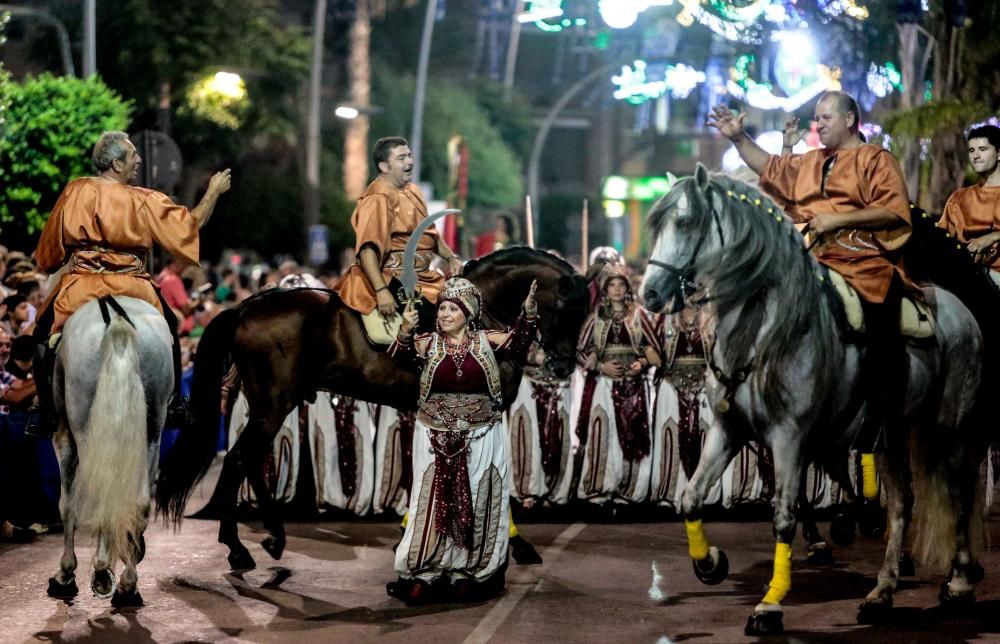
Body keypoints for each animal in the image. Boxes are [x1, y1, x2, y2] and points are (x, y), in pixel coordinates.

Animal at [45, 294, 172, 608]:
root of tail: (115, 316)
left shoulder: (63, 436)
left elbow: (67, 504)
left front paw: (65, 576)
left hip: (83, 425)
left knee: (96, 492)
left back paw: (102, 572)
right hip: (152, 430)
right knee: (140, 502)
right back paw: (127, 585)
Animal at [156, 247, 600, 568]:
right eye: (567, 309)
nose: (563, 367)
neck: (483, 309)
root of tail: (247, 307)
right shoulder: (488, 413)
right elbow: (494, 476)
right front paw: (515, 545)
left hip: (271, 407)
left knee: (248, 461)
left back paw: (268, 538)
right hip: (271, 406)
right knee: (237, 461)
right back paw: (240, 547)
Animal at [640, 164, 984, 636]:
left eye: (687, 223)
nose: (650, 294)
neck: (767, 331)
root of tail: (960, 309)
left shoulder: (790, 437)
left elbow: (784, 516)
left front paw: (769, 605)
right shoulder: (729, 430)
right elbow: (690, 498)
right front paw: (709, 563)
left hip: (950, 427)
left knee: (959, 492)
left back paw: (960, 583)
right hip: (890, 433)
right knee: (901, 506)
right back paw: (881, 594)